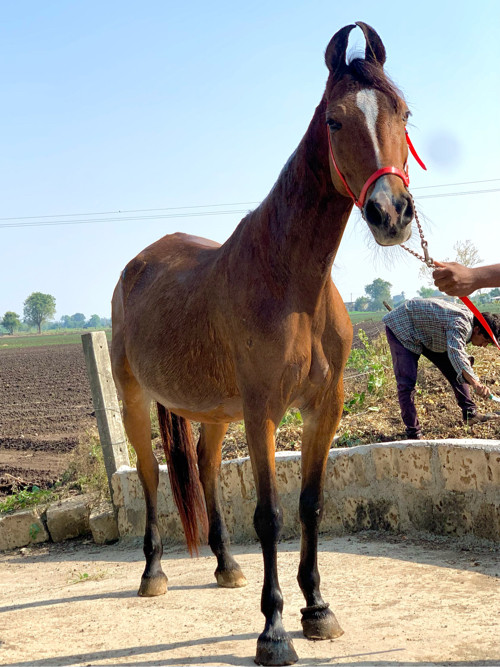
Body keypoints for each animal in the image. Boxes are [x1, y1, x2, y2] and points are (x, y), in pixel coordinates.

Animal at [113, 22, 418, 667]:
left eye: (403, 113)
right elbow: (271, 515)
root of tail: (139, 264)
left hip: (213, 413)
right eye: (334, 121)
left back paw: (226, 565)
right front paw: (274, 631)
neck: (290, 281)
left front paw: (317, 610)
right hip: (134, 399)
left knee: (203, 469)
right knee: (151, 476)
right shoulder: (263, 413)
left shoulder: (323, 407)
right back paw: (153, 573)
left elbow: (310, 505)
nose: (391, 213)